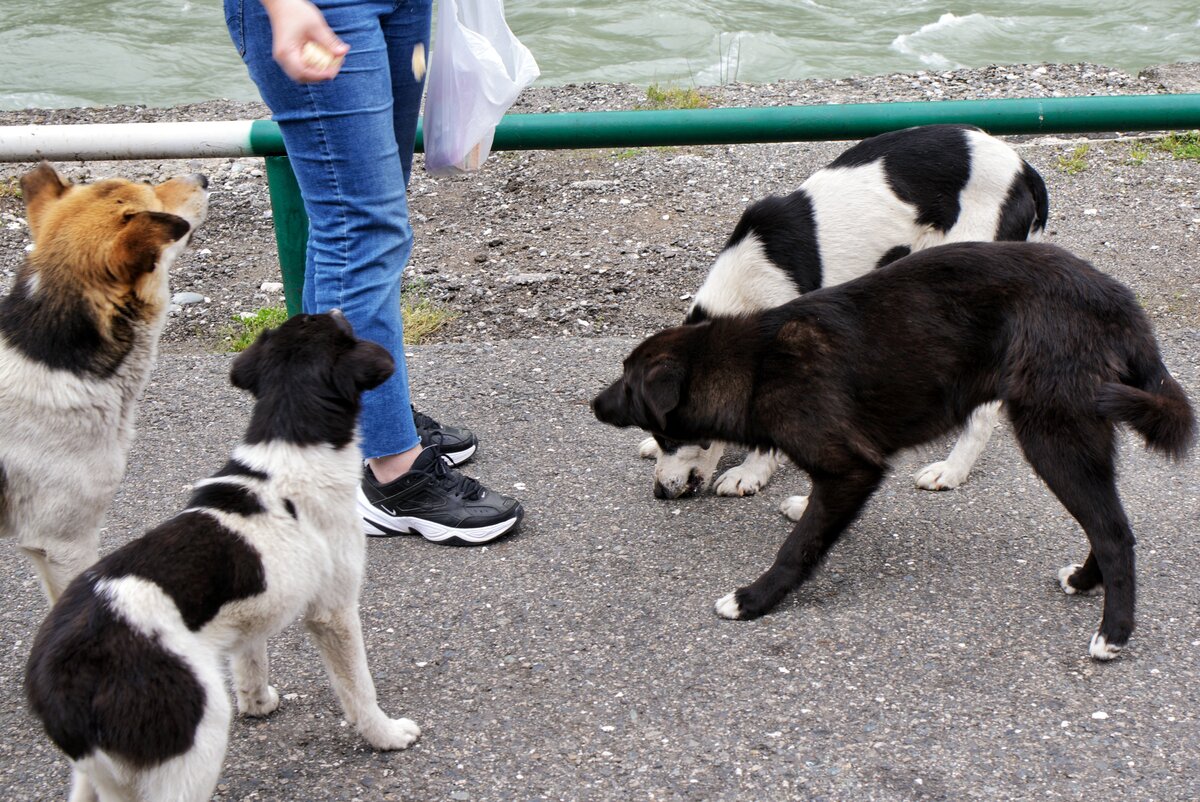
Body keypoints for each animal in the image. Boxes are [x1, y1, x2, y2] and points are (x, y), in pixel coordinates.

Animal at [25, 312, 420, 802]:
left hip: (95, 775)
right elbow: (359, 688)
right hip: (197, 744)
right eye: (339, 329)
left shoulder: (252, 614)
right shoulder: (334, 612)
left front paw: (259, 704)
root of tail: (61, 677)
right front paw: (386, 734)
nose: (336, 311)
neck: (288, 446)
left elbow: (250, 664)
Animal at [595, 241, 1195, 662]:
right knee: (1107, 525)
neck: (758, 365)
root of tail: (1118, 301)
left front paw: (755, 599)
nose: (594, 405)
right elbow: (810, 514)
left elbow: (800, 547)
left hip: (1053, 436)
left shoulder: (852, 470)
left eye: (629, 386)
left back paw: (1113, 635)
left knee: (1114, 532)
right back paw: (1085, 582)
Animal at [643, 123, 1046, 501]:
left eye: (674, 434)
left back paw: (951, 469)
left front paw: (751, 472)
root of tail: (1023, 168)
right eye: (657, 434)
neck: (745, 287)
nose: (660, 492)